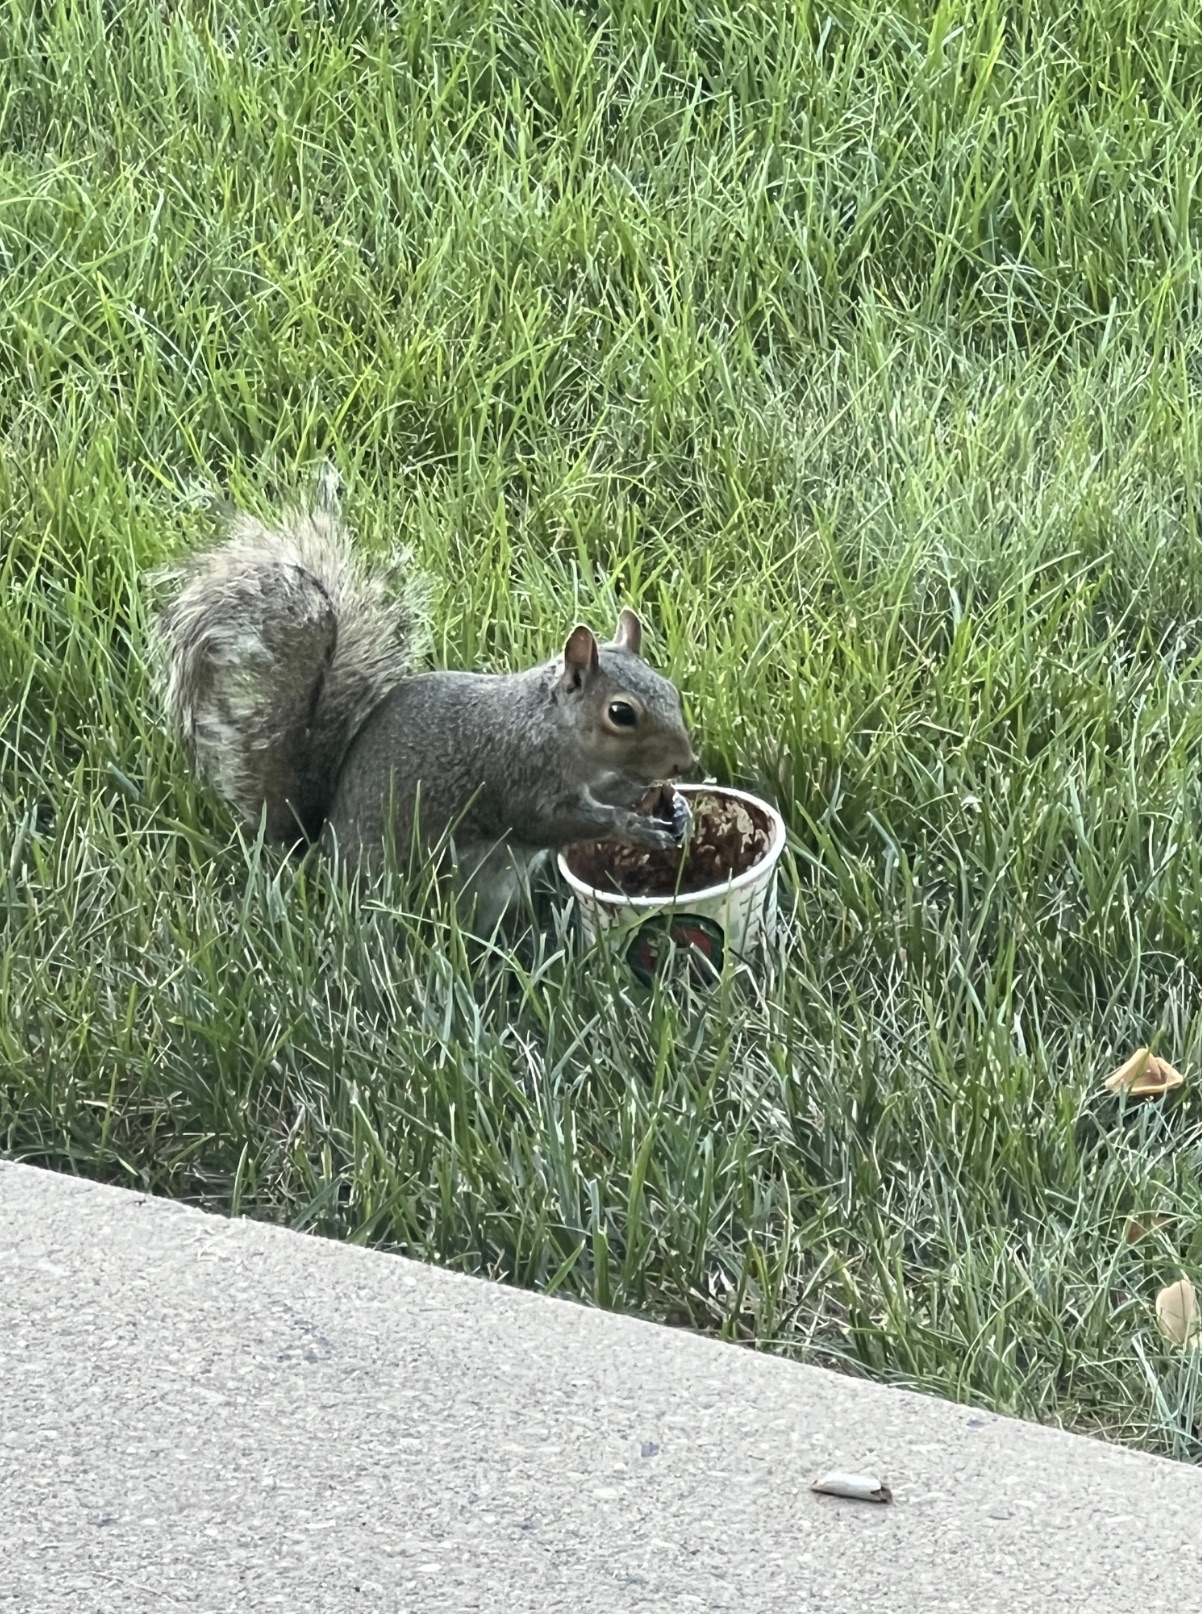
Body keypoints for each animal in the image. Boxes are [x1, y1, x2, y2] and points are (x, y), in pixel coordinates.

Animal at [158, 468, 693, 929]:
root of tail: (321, 851)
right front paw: (631, 827)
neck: (553, 728)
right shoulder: (517, 776)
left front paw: (676, 808)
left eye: (670, 691)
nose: (685, 763)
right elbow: (548, 823)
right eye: (620, 713)